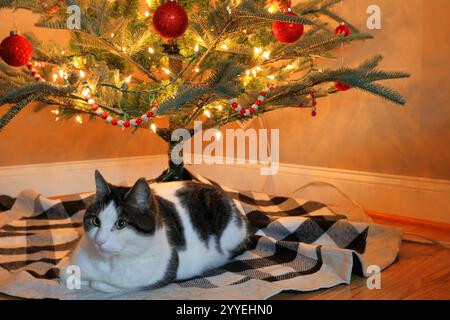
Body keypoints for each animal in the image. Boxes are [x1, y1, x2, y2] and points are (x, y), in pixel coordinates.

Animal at [59, 170, 248, 292]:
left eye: (121, 224)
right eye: (96, 221)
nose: (99, 241)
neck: (108, 263)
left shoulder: (161, 274)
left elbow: (110, 286)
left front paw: (93, 283)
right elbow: (65, 274)